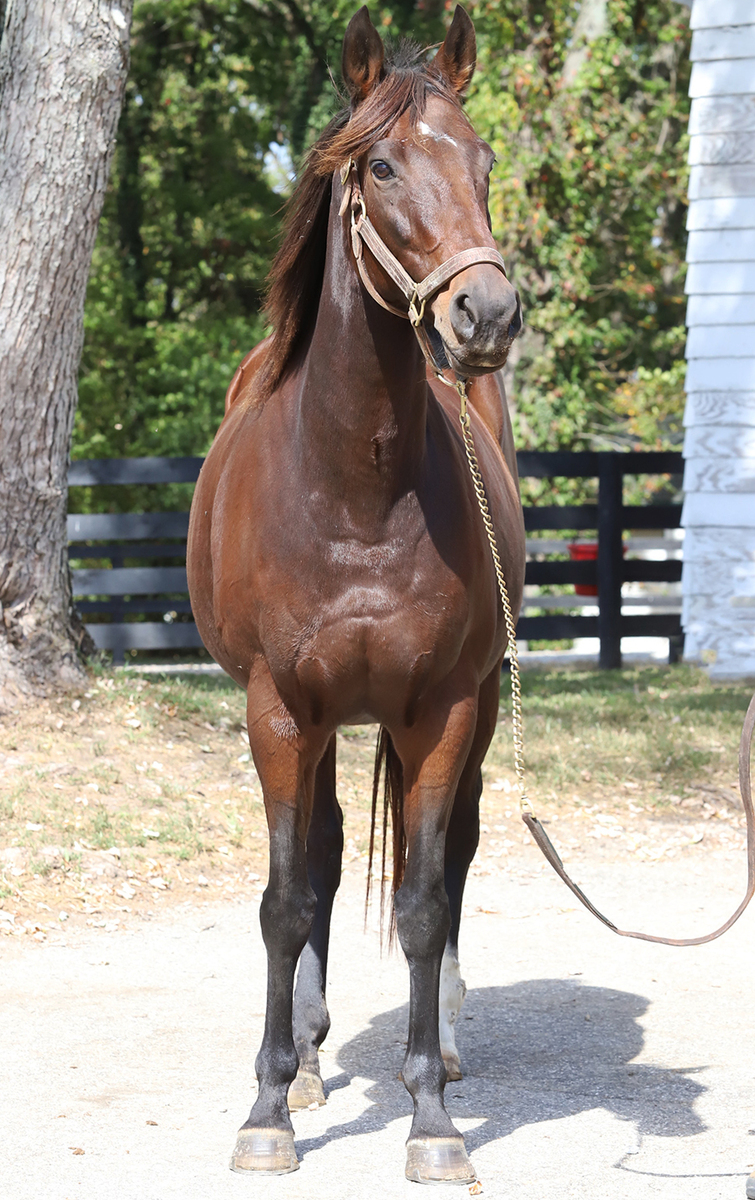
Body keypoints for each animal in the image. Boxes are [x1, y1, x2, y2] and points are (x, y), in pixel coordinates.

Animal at [187, 5, 525, 1184]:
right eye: (379, 166)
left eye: (481, 159)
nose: (486, 312)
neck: (354, 489)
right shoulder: (280, 708)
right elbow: (287, 898)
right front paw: (267, 1107)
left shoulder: (443, 708)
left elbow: (422, 902)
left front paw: (430, 1121)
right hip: (323, 720)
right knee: (326, 859)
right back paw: (307, 1057)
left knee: (454, 856)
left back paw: (451, 1046)